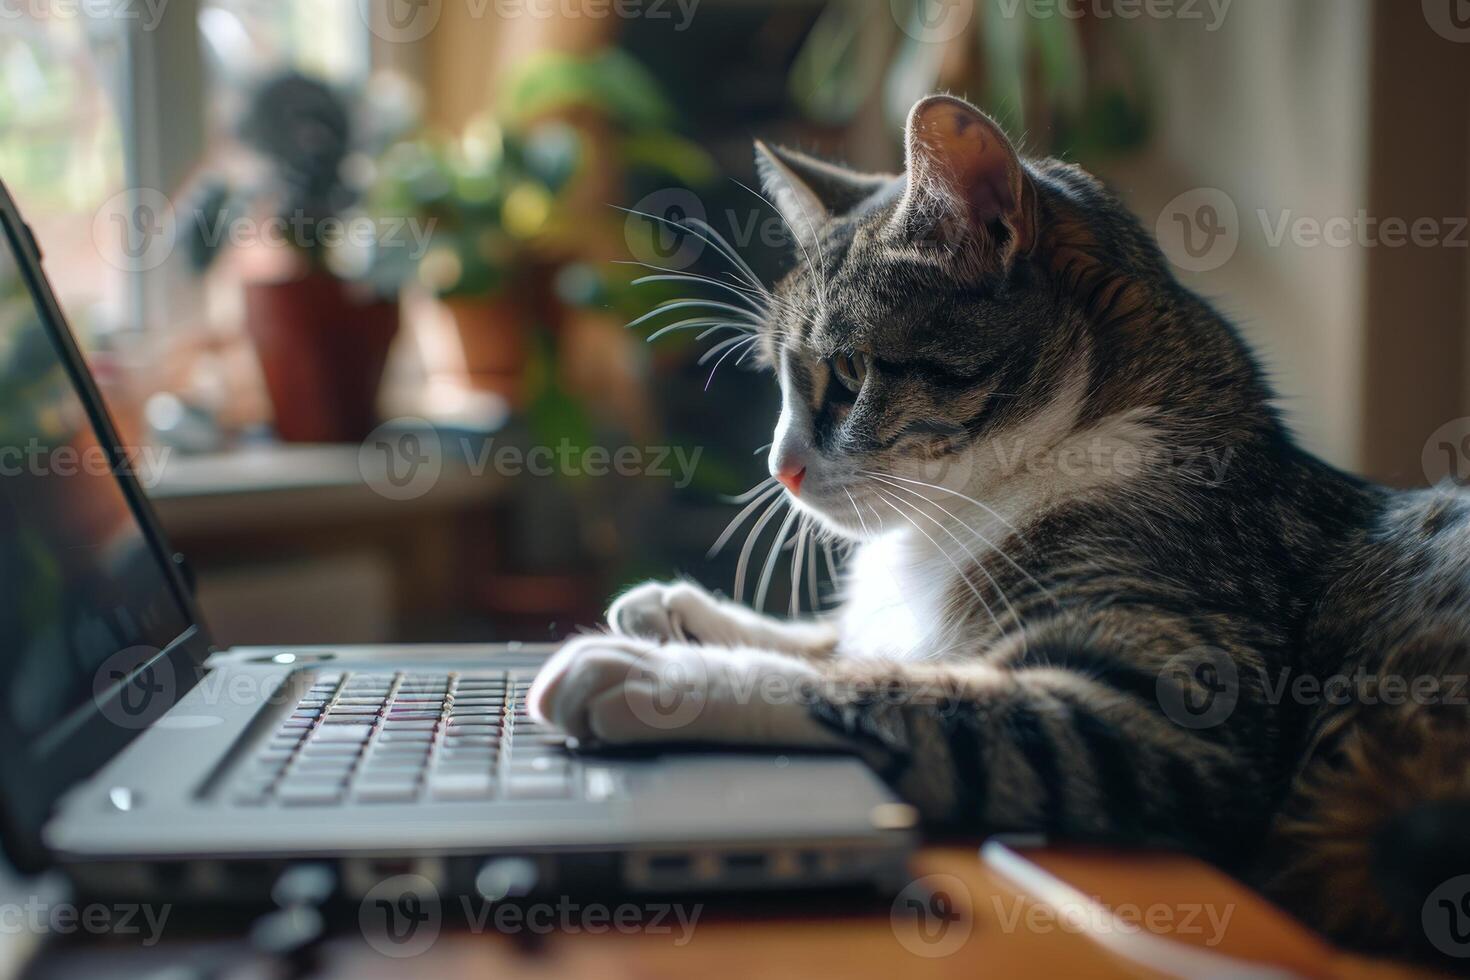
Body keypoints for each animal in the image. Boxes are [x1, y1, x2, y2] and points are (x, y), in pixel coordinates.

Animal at [529, 95, 1470, 969]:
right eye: (782, 379)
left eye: (849, 374)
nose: (778, 466)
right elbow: (841, 640)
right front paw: (672, 612)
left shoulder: (1164, 712)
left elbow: (886, 686)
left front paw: (650, 671)